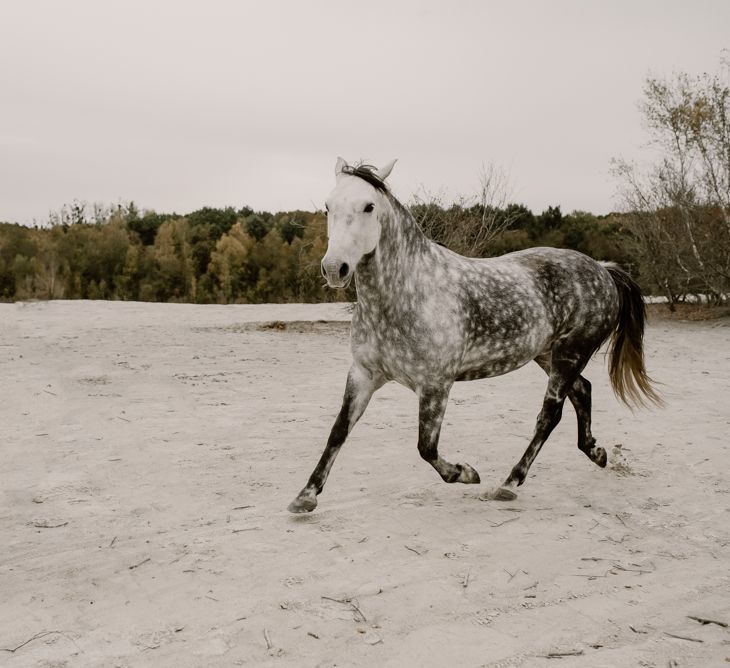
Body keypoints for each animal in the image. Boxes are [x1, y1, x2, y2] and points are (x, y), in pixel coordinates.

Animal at [288, 157, 664, 512]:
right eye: (328, 206)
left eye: (369, 206)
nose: (334, 268)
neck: (409, 293)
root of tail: (603, 269)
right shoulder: (364, 374)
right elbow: (338, 431)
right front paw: (306, 496)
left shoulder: (436, 384)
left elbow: (426, 447)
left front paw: (466, 473)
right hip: (549, 355)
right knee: (582, 392)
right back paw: (596, 453)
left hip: (570, 354)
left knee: (549, 416)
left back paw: (509, 483)